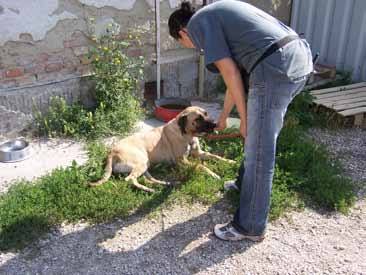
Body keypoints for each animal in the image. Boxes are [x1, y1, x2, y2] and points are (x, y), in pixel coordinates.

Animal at [88, 106, 234, 193]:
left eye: (206, 113)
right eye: (198, 119)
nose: (215, 124)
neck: (186, 134)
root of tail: (111, 152)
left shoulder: (199, 153)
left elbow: (215, 156)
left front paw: (230, 162)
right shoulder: (182, 161)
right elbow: (201, 166)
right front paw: (213, 174)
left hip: (144, 164)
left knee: (147, 178)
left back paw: (166, 184)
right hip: (141, 161)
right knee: (130, 179)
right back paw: (148, 189)